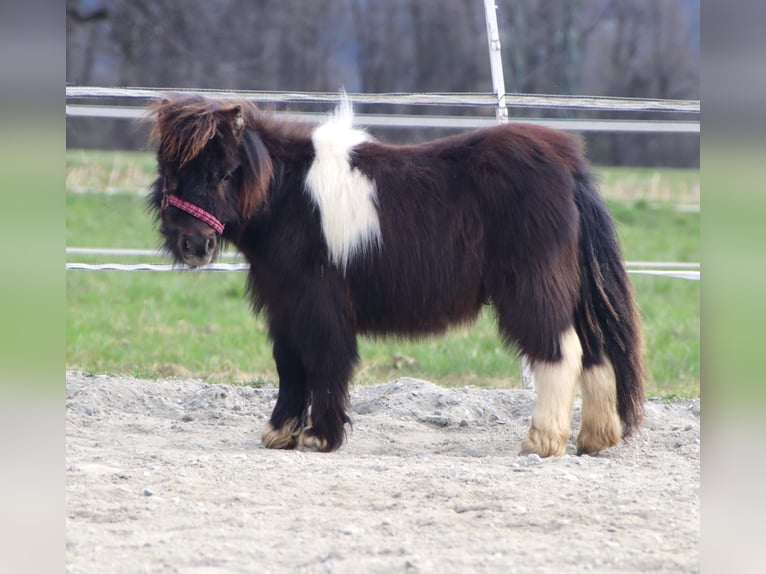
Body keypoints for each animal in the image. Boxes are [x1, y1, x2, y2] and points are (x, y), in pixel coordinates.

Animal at [147, 95, 644, 460]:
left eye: (225, 172)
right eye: (170, 171)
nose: (194, 245)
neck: (288, 196)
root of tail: (566, 165)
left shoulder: (316, 302)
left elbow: (324, 361)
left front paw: (319, 437)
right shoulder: (283, 303)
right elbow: (289, 364)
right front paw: (278, 434)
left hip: (532, 289)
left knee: (561, 352)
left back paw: (540, 442)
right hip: (571, 290)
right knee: (596, 351)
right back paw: (595, 439)